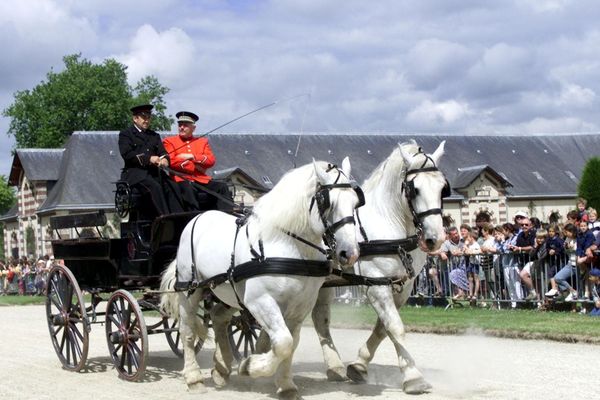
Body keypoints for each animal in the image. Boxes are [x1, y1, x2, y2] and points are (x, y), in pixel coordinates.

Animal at [161, 158, 360, 398]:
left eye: (356, 202)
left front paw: (285, 385)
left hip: (230, 292)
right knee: (187, 330)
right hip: (191, 290)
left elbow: (290, 344)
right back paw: (194, 378)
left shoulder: (299, 307)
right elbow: (283, 343)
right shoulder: (260, 301)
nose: (350, 253)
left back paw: (222, 368)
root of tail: (199, 217)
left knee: (218, 317)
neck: (289, 247)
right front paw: (250, 366)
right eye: (328, 202)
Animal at [312, 140, 448, 394]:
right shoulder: (376, 285)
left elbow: (383, 328)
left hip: (323, 283)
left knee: (320, 318)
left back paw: (334, 366)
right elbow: (395, 326)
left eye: (443, 188)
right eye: (414, 189)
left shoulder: (402, 286)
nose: (435, 238)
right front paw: (413, 377)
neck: (388, 222)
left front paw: (359, 365)